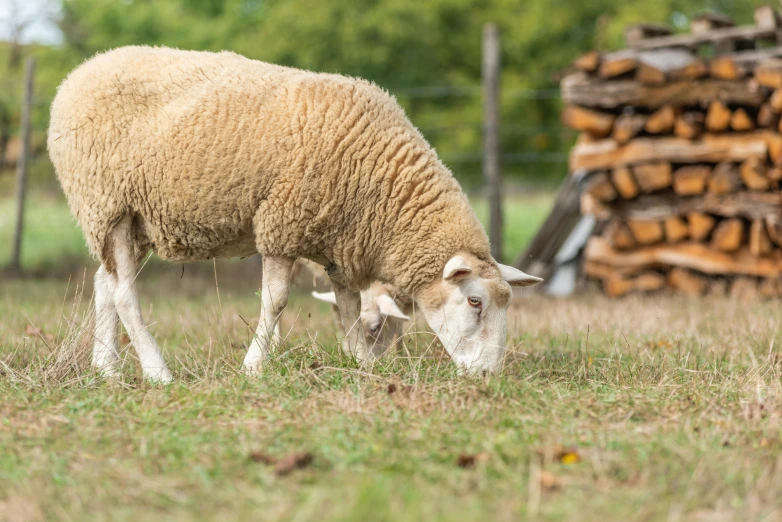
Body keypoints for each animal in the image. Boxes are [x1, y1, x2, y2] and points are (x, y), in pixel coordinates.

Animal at [46, 45, 544, 382]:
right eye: (475, 301)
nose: (488, 376)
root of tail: (76, 75)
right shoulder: (283, 226)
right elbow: (276, 301)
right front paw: (254, 366)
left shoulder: (341, 243)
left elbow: (348, 307)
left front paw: (360, 362)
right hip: (106, 203)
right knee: (125, 294)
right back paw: (157, 372)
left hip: (132, 220)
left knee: (104, 284)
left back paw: (107, 368)